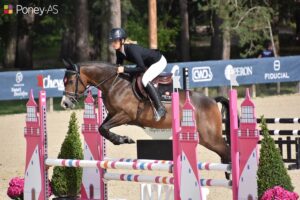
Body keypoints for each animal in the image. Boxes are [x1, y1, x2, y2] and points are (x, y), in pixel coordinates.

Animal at [59, 61, 231, 164]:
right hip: (203, 138)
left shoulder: (125, 115)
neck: (115, 83)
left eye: (71, 81)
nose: (65, 103)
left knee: (226, 150)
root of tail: (212, 101)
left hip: (210, 137)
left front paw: (123, 139)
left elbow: (103, 128)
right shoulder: (113, 114)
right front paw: (121, 139)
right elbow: (102, 128)